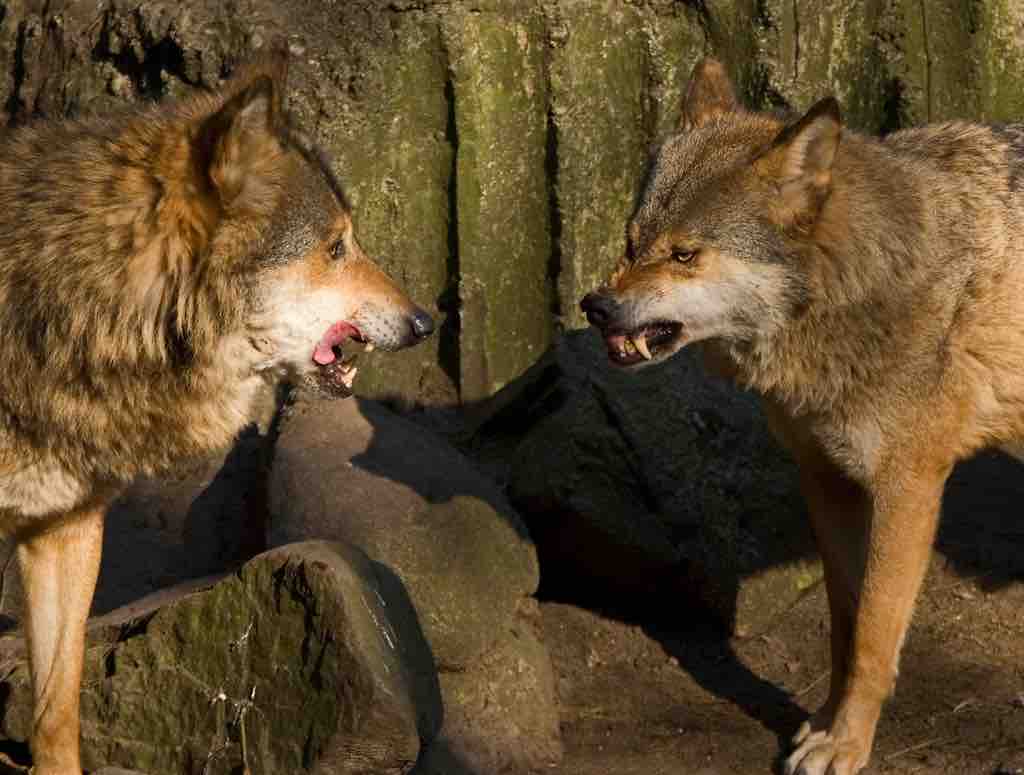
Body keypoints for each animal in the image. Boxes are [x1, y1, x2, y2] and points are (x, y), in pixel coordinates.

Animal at [581, 57, 1024, 775]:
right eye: (631, 240)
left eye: (684, 254)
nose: (594, 306)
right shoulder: (825, 476)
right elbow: (844, 624)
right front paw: (824, 721)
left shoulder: (909, 486)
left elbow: (874, 635)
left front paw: (847, 744)